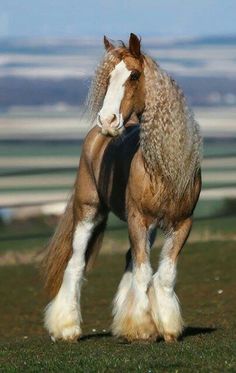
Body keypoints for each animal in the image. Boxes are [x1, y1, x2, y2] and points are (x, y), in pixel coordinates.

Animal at [41, 33, 202, 342]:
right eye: (108, 79)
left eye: (135, 75)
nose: (108, 120)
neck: (163, 167)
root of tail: (94, 137)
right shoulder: (137, 218)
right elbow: (143, 272)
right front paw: (142, 328)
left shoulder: (182, 222)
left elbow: (164, 274)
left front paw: (167, 328)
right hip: (88, 211)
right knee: (76, 263)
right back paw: (67, 329)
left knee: (130, 260)